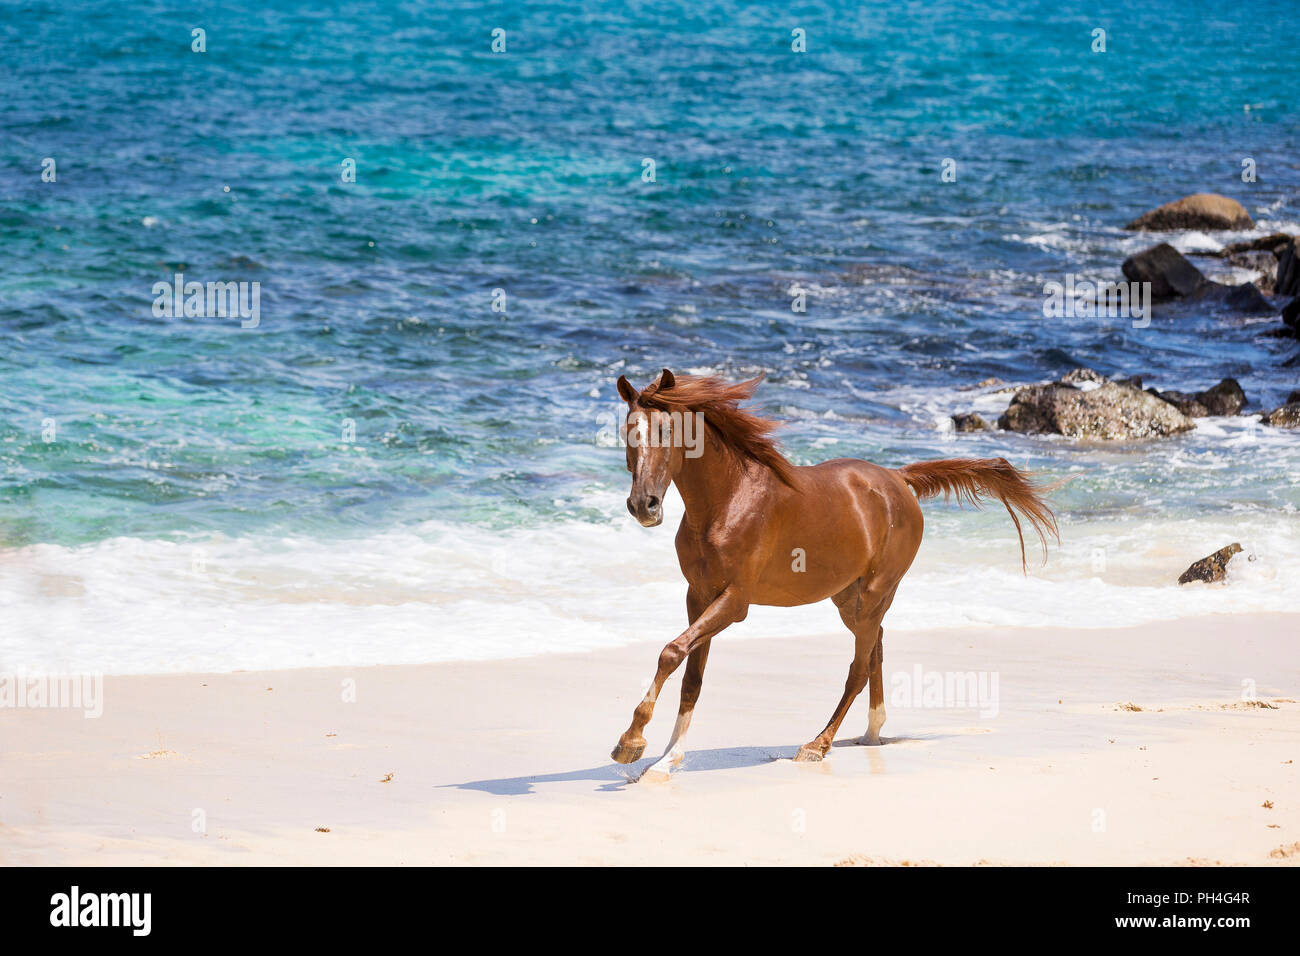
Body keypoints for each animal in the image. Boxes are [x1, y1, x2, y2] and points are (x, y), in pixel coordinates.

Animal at [608, 369, 1055, 780]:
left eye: (667, 431)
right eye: (628, 431)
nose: (644, 505)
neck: (728, 500)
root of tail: (898, 479)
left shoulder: (734, 602)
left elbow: (671, 652)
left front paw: (631, 743)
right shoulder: (699, 595)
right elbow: (691, 677)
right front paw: (666, 760)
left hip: (874, 593)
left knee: (858, 668)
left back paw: (817, 744)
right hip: (848, 599)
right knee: (874, 649)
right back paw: (871, 733)